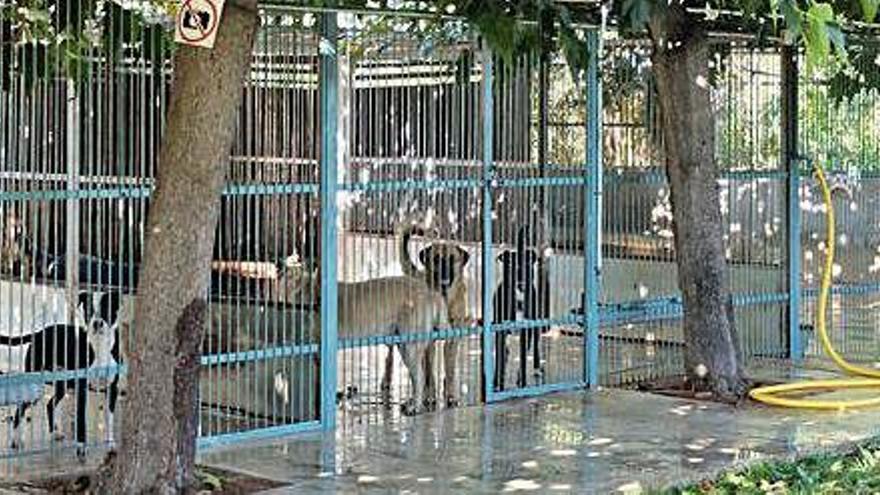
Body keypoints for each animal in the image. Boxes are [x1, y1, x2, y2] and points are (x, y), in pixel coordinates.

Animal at [492, 228, 548, 392]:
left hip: (534, 324)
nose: (521, 283)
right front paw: (498, 380)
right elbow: (500, 357)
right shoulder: (500, 330)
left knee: (535, 347)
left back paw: (536, 369)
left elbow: (523, 358)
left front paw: (521, 381)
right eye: (512, 268)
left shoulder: (526, 330)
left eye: (527, 267)